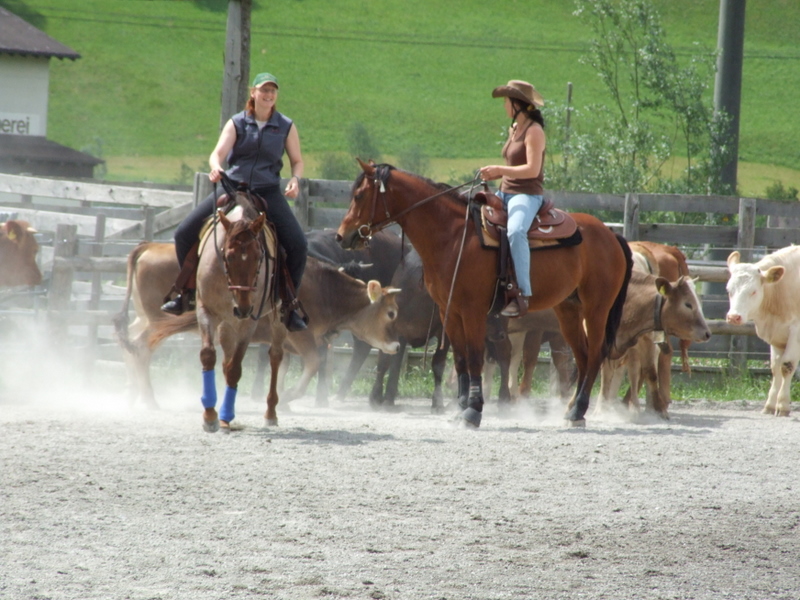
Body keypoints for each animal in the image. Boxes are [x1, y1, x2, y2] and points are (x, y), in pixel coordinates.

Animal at [113, 242, 401, 409]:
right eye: (391, 313)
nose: (397, 345)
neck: (322, 288)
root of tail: (149, 246)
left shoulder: (283, 339)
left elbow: (282, 366)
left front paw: (279, 401)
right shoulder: (302, 336)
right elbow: (313, 362)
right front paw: (288, 396)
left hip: (145, 317)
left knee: (130, 342)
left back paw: (131, 394)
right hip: (159, 320)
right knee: (141, 347)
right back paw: (148, 398)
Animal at [195, 186, 286, 432]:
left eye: (259, 256)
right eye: (227, 256)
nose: (243, 307)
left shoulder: (248, 322)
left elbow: (236, 368)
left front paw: (225, 414)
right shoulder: (206, 310)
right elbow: (209, 355)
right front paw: (209, 414)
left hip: (277, 318)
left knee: (275, 356)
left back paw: (271, 412)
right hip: (228, 322)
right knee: (226, 358)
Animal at [336, 161, 632, 427]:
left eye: (359, 195)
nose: (342, 236)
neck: (454, 237)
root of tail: (611, 235)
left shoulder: (473, 310)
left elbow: (476, 356)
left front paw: (473, 410)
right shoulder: (449, 311)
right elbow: (460, 359)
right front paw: (460, 408)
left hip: (596, 309)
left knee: (594, 353)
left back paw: (578, 409)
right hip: (569, 310)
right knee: (582, 355)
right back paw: (572, 411)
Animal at [596, 270, 711, 418]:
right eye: (688, 304)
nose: (707, 333)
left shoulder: (644, 342)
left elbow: (649, 373)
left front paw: (658, 409)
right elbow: (605, 373)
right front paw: (601, 408)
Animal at [726, 247, 800, 416]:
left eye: (753, 291)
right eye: (729, 290)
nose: (733, 317)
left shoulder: (796, 332)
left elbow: (787, 366)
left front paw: (782, 406)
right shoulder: (777, 335)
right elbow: (775, 368)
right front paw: (770, 406)